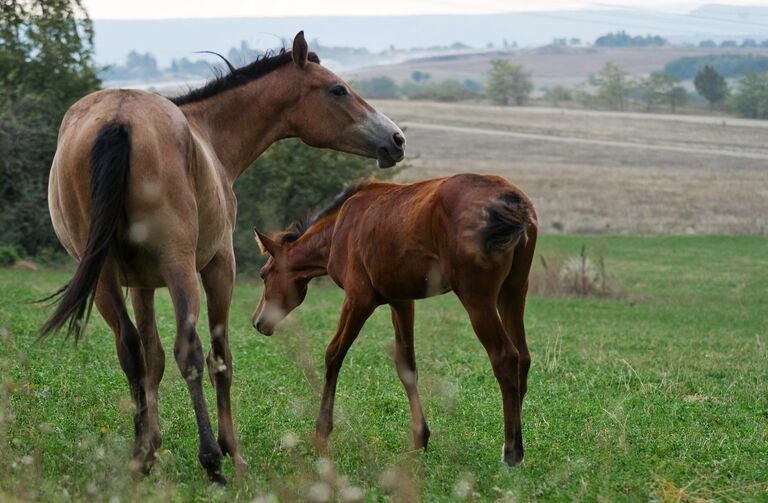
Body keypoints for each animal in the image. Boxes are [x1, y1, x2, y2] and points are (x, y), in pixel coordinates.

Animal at [41, 32, 404, 484]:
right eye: (337, 89)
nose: (396, 139)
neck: (206, 135)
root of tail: (119, 119)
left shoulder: (140, 284)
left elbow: (152, 359)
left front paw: (151, 447)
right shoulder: (219, 266)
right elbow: (220, 358)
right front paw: (232, 451)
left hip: (106, 276)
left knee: (130, 350)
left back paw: (140, 457)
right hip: (180, 267)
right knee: (191, 353)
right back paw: (211, 459)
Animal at [252, 175, 536, 466]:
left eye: (264, 274)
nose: (258, 321)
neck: (339, 228)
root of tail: (512, 200)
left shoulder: (358, 300)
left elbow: (333, 355)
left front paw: (322, 431)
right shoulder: (401, 301)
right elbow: (406, 366)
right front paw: (420, 438)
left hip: (477, 298)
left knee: (505, 357)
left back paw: (511, 450)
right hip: (513, 292)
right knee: (523, 358)